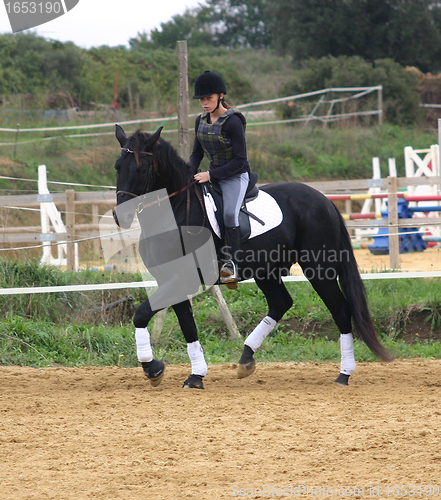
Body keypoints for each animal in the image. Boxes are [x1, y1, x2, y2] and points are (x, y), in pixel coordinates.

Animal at [113, 125, 392, 390]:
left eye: (142, 169)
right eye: (117, 167)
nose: (120, 217)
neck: (176, 212)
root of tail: (324, 200)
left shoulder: (182, 279)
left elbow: (141, 314)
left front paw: (153, 368)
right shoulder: (172, 281)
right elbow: (187, 326)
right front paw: (193, 375)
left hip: (318, 269)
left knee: (341, 311)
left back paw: (344, 374)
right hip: (267, 271)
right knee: (281, 303)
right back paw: (246, 359)